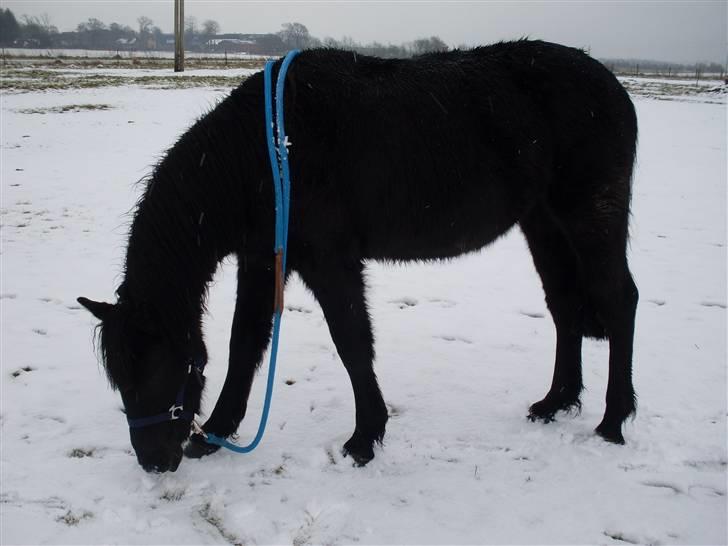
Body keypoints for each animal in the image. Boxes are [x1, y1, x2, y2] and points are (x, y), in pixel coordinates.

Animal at [78, 40, 636, 470]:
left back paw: (613, 421)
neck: (269, 150)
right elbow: (244, 345)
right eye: (120, 377)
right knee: (564, 306)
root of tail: (612, 86)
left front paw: (364, 439)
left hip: (589, 219)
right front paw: (216, 431)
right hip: (544, 225)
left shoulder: (329, 262)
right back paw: (556, 402)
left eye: (153, 368)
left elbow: (351, 341)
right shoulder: (261, 261)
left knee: (619, 300)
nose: (154, 461)